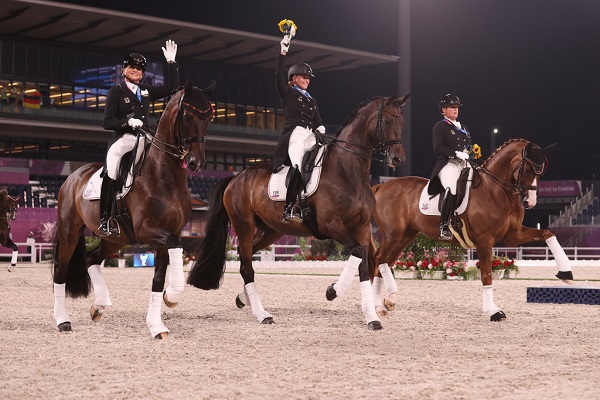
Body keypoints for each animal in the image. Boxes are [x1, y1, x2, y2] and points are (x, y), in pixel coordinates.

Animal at [52, 79, 216, 340]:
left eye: (209, 116)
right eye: (188, 116)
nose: (196, 163)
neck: (164, 175)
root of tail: (74, 176)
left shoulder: (166, 235)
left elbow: (158, 280)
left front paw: (158, 322)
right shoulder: (147, 230)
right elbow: (175, 247)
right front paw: (171, 298)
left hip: (116, 239)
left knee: (91, 258)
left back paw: (99, 305)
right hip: (70, 231)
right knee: (61, 270)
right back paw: (63, 321)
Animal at [190, 94, 410, 332]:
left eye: (402, 122)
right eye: (387, 121)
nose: (398, 160)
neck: (347, 172)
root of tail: (236, 177)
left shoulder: (361, 228)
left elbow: (363, 266)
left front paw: (372, 318)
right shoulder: (330, 225)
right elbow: (358, 253)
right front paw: (332, 291)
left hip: (272, 231)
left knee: (244, 257)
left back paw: (243, 298)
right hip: (244, 225)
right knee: (247, 267)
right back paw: (263, 314)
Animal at [370, 139, 572, 320]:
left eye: (541, 172)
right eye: (528, 170)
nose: (530, 202)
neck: (496, 191)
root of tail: (382, 186)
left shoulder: (513, 236)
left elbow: (547, 233)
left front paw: (566, 273)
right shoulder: (484, 240)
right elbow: (487, 275)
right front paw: (493, 311)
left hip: (406, 236)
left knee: (384, 261)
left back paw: (384, 304)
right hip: (393, 234)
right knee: (379, 258)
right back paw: (380, 304)